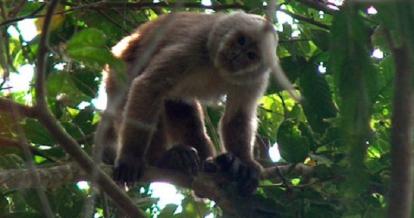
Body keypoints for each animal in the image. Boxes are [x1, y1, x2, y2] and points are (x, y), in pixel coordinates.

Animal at [95, 11, 292, 193]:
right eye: (241, 41)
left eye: (251, 55)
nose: (238, 55)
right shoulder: (195, 45)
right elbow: (148, 86)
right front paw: (131, 158)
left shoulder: (255, 78)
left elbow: (238, 116)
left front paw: (245, 164)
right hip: (119, 70)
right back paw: (162, 160)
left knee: (186, 116)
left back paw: (213, 165)